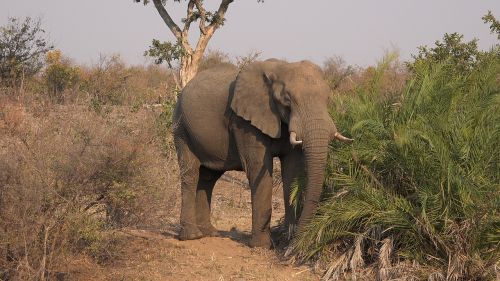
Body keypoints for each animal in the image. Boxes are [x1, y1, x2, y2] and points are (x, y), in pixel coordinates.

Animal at [172, 59, 352, 247]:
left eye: (328, 98)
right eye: (287, 100)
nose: (298, 240)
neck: (279, 69)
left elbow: (292, 171)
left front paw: (287, 240)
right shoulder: (244, 122)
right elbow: (259, 169)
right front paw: (262, 246)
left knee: (209, 177)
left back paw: (210, 233)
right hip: (181, 127)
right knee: (191, 174)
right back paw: (192, 236)